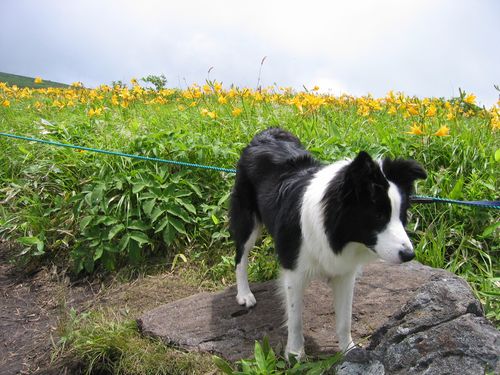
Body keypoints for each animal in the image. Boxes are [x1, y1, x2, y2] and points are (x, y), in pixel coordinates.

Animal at [229, 128, 424, 360]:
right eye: (378, 215)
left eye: (401, 216)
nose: (409, 255)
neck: (336, 231)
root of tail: (266, 133)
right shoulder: (294, 272)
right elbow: (295, 318)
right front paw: (295, 354)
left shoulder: (345, 273)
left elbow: (345, 318)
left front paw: (349, 350)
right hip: (247, 219)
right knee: (240, 256)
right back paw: (244, 294)